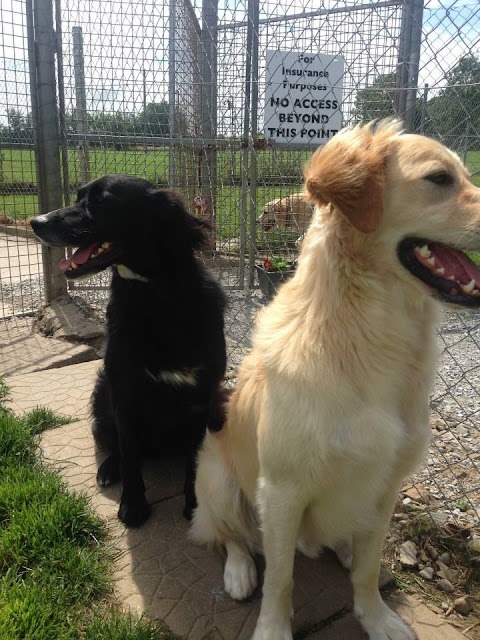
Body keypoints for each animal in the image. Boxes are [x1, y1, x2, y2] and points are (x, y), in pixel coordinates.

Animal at [31, 174, 227, 524]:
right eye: (78, 197)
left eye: (100, 201)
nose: (35, 222)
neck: (153, 295)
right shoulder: (124, 390)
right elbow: (130, 455)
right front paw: (133, 506)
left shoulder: (202, 394)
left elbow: (194, 459)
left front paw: (193, 505)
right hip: (101, 391)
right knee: (115, 444)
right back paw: (109, 470)